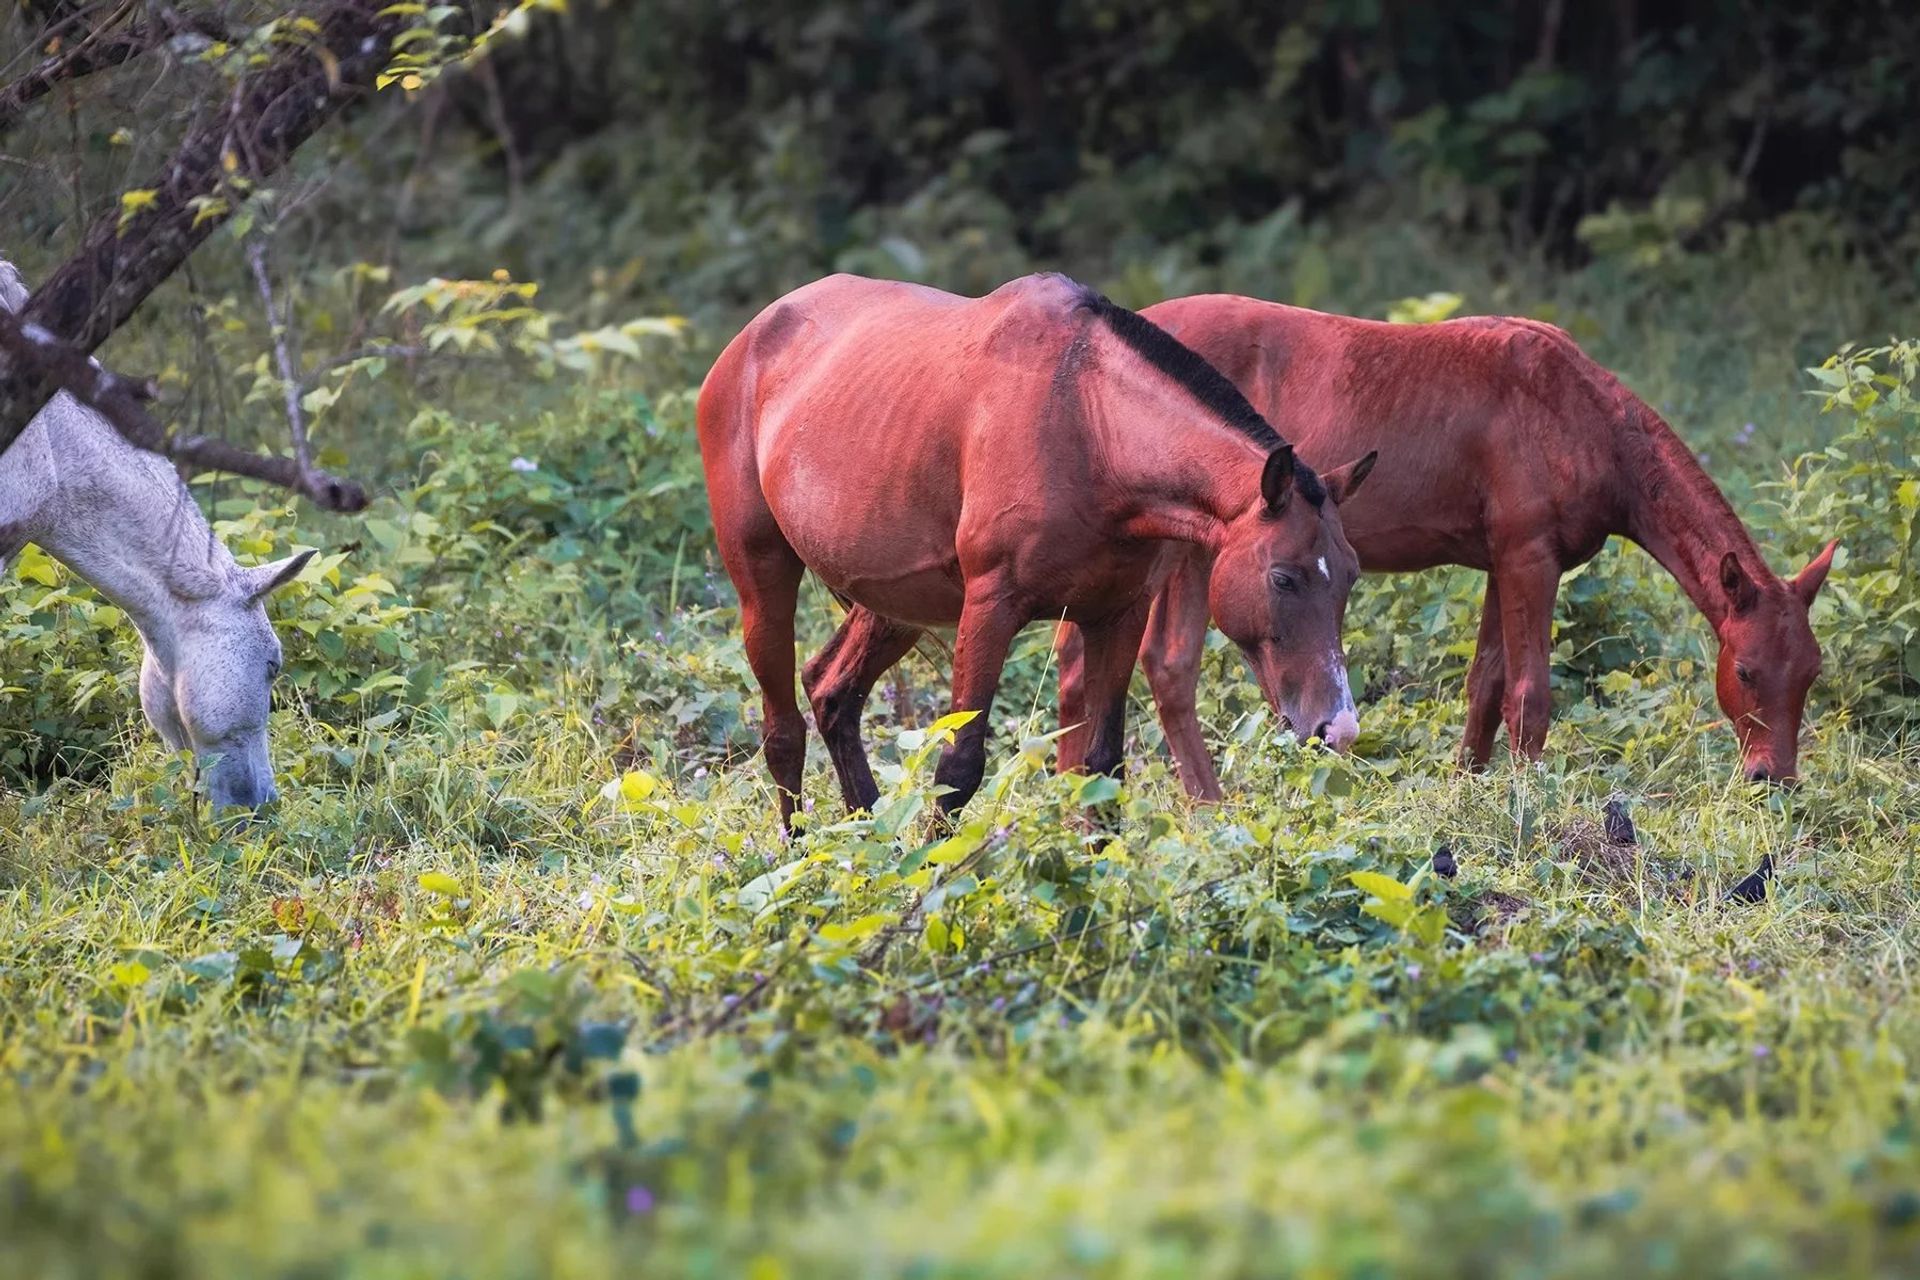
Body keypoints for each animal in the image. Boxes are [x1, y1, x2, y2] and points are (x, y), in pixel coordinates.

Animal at [706, 272, 1382, 832]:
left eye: (1350, 577)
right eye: (1283, 578)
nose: (1338, 727)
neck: (1087, 423)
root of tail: (747, 342)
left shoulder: (1118, 615)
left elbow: (1103, 768)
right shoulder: (990, 608)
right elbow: (959, 770)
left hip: (894, 605)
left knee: (832, 694)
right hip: (764, 583)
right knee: (784, 732)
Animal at [1059, 297, 1835, 802]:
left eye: (1810, 675)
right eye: (1749, 671)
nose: (1774, 780)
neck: (1578, 414)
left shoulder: (1503, 562)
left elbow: (1486, 685)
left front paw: (1471, 788)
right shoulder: (1530, 561)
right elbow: (1529, 694)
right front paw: (1526, 803)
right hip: (1179, 551)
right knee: (1163, 664)